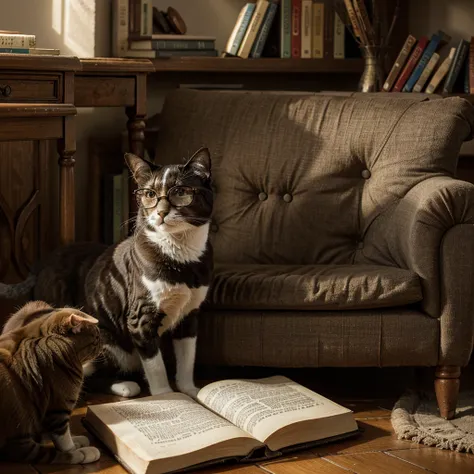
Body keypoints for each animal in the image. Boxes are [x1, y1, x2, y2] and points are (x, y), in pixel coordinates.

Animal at [0, 147, 213, 396]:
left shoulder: (190, 313)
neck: (181, 257)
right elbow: (156, 365)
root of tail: (43, 262)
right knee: (86, 375)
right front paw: (167, 396)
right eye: (150, 194)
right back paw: (126, 387)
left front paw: (190, 391)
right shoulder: (140, 318)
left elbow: (187, 357)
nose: (160, 213)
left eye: (180, 191)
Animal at [0, 300, 101, 462]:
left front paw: (77, 441)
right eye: (97, 337)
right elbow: (63, 445)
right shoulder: (59, 410)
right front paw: (78, 449)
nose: (103, 344)